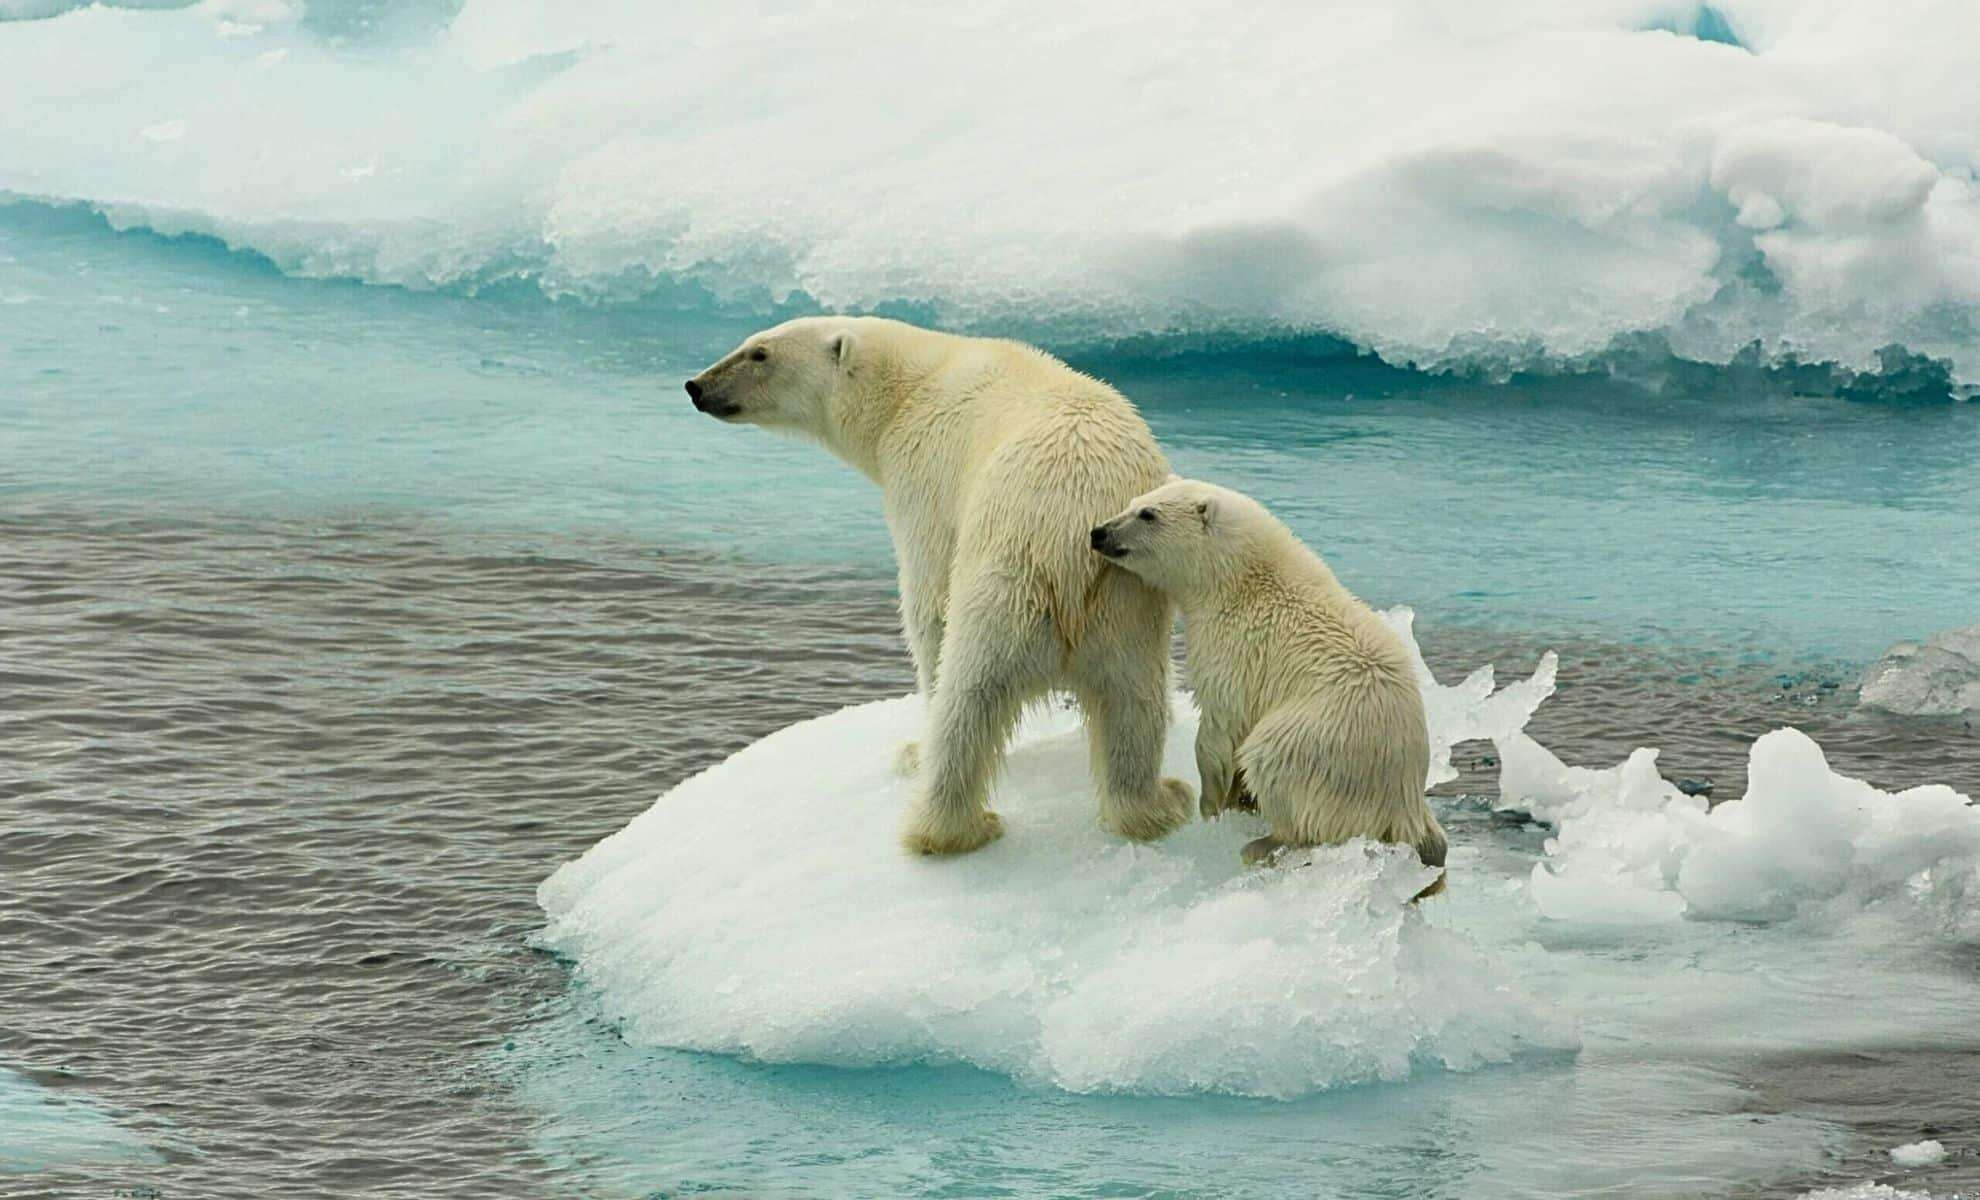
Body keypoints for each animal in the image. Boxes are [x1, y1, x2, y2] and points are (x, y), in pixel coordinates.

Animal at [686, 317, 1195, 855]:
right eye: (749, 342)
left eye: (759, 353)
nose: (697, 386)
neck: (912, 385)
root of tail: (1070, 541)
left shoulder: (924, 475)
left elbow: (927, 598)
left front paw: (914, 746)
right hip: (1126, 602)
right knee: (1133, 701)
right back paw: (1157, 803)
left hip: (1007, 581)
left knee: (968, 695)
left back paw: (945, 819)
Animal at [1090, 477, 1447, 896]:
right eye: (1132, 502)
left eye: (1148, 514)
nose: (1099, 533)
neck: (1241, 579)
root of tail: (1401, 799)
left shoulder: (1235, 648)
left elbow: (1220, 727)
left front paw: (1212, 805)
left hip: (1321, 741)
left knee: (1273, 759)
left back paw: (1264, 843)